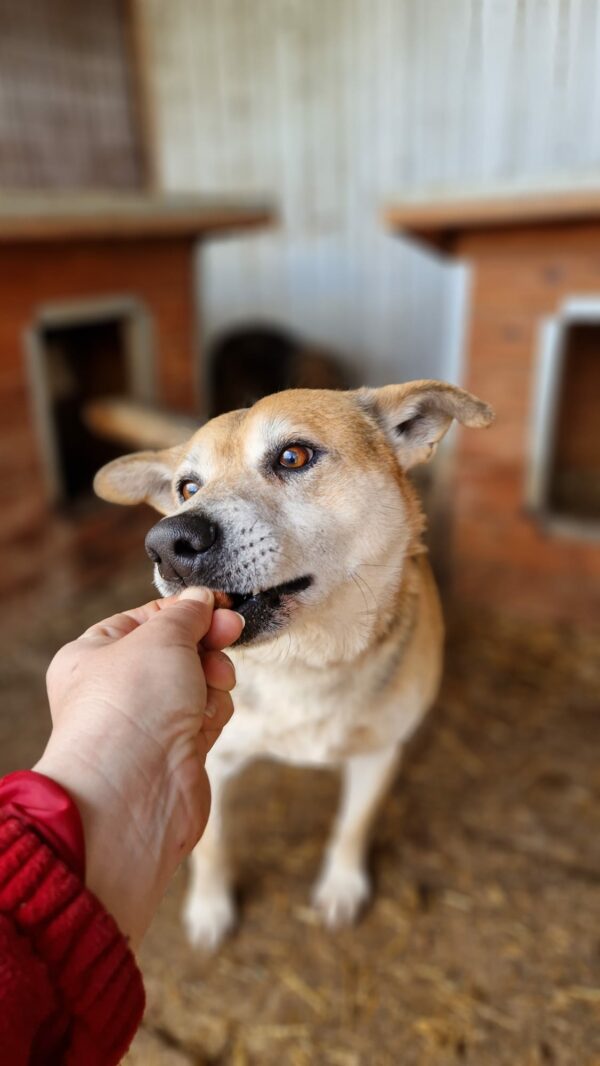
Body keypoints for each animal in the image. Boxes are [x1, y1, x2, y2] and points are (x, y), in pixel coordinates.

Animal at [96, 381, 494, 950]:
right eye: (187, 488)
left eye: (293, 456)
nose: (167, 543)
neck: (305, 664)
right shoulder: (210, 763)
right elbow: (211, 846)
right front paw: (210, 908)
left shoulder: (378, 753)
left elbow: (352, 826)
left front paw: (342, 887)